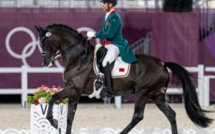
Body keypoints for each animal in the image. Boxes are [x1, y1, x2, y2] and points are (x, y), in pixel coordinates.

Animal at [35, 24, 213, 134]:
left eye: (45, 42)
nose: (45, 63)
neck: (78, 58)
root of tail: (162, 63)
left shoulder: (74, 89)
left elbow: (52, 98)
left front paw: (53, 121)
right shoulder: (75, 93)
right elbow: (70, 117)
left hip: (143, 93)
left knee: (138, 116)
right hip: (157, 95)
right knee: (171, 115)